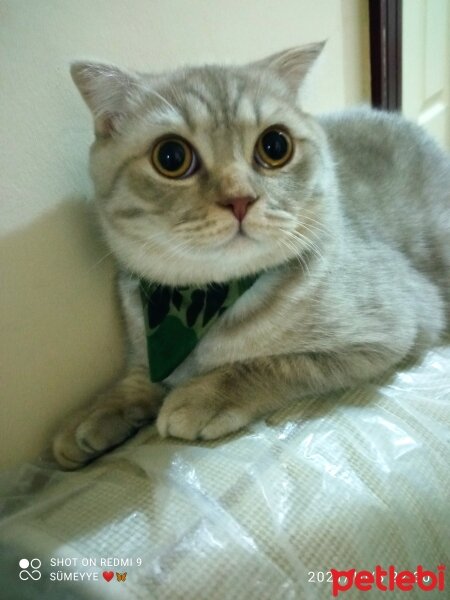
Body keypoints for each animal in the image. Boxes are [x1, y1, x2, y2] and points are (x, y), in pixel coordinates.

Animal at [51, 45, 448, 468]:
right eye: (171, 156)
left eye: (275, 146)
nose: (240, 198)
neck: (203, 304)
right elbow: (139, 376)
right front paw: (97, 413)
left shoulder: (392, 327)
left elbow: (276, 362)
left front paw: (203, 395)